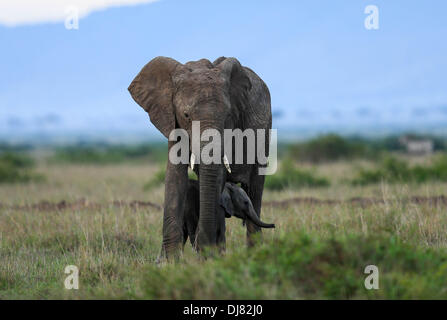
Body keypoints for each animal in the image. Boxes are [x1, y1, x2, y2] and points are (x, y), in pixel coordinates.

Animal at [128, 55, 272, 260]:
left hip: (265, 131)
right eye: (186, 115)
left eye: (228, 115)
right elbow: (175, 176)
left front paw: (206, 254)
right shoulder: (172, 119)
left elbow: (218, 174)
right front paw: (168, 260)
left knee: (255, 188)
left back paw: (254, 254)